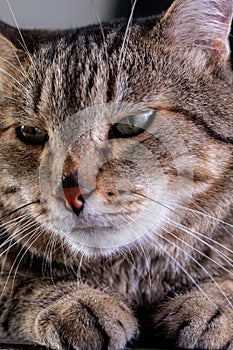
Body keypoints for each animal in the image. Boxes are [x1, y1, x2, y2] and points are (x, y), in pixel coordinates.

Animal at [0, 0, 232, 348]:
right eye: (31, 132)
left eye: (132, 124)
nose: (69, 193)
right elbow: (19, 285)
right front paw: (75, 302)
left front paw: (211, 302)